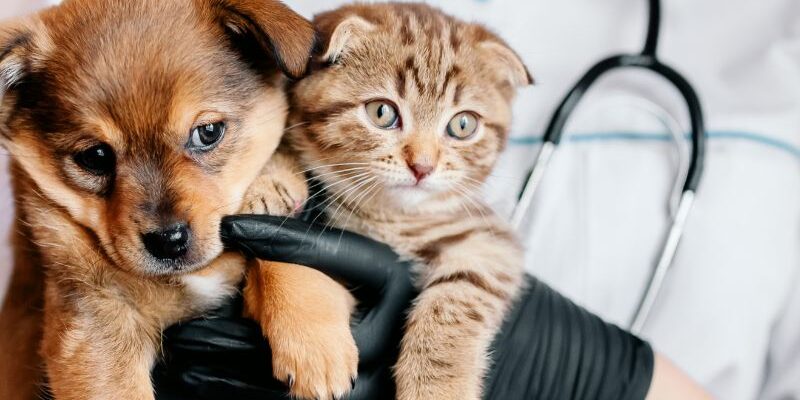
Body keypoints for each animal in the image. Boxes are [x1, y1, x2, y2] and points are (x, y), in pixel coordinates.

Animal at [0, 1, 357, 399]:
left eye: (208, 132)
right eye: (95, 156)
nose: (167, 241)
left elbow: (285, 250)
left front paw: (315, 344)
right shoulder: (93, 314)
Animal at [264, 3, 532, 399]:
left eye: (463, 125)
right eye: (382, 112)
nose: (423, 166)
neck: (389, 219)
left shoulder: (489, 241)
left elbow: (459, 296)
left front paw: (438, 388)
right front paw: (271, 178)